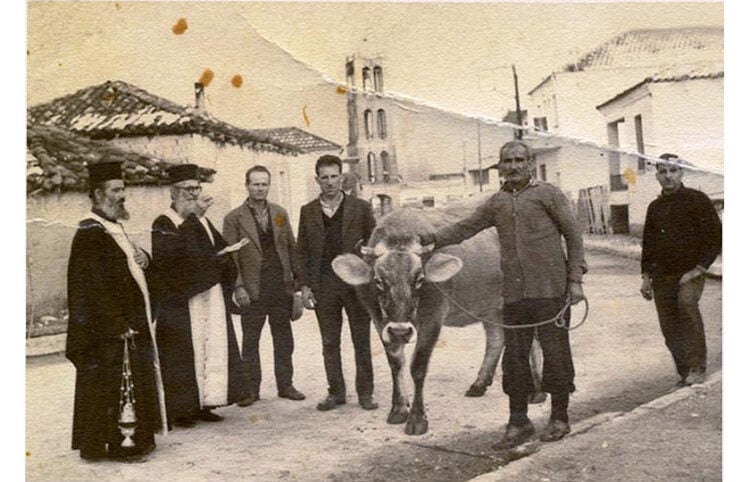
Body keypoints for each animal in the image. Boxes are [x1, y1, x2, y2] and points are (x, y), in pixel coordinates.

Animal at [334, 200, 548, 436]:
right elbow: (396, 363)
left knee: (534, 340)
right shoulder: (379, 320)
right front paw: (398, 409)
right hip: (489, 305)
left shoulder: (433, 316)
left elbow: (418, 367)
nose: (401, 331)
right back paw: (479, 384)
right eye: (379, 280)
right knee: (496, 339)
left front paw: (417, 419)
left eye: (419, 279)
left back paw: (538, 391)